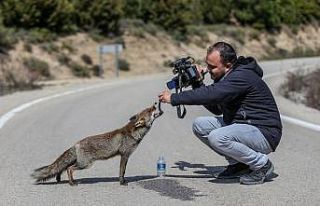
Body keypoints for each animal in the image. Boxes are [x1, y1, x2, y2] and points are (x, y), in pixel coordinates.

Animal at [31, 102, 162, 186]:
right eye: (149, 110)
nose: (154, 104)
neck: (132, 133)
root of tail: (76, 143)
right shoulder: (124, 155)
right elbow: (121, 171)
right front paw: (122, 182)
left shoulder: (126, 155)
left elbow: (123, 171)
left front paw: (123, 181)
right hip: (85, 164)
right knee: (69, 168)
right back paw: (72, 183)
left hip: (81, 162)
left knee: (63, 168)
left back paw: (62, 179)